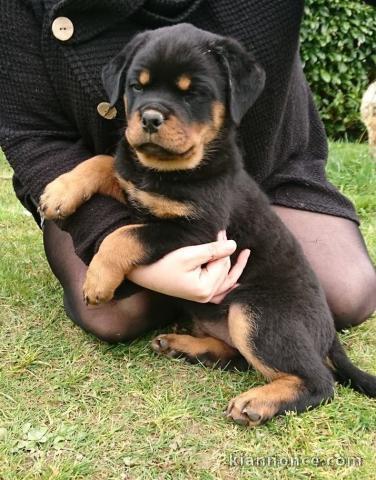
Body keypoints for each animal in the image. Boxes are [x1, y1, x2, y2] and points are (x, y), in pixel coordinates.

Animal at [39, 24, 376, 426]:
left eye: (194, 93)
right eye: (137, 86)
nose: (149, 118)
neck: (170, 171)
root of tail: (329, 333)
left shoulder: (196, 230)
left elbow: (125, 235)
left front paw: (97, 282)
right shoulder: (137, 183)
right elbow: (104, 162)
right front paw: (59, 192)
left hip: (255, 313)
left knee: (320, 382)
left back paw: (255, 402)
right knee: (235, 355)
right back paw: (183, 346)